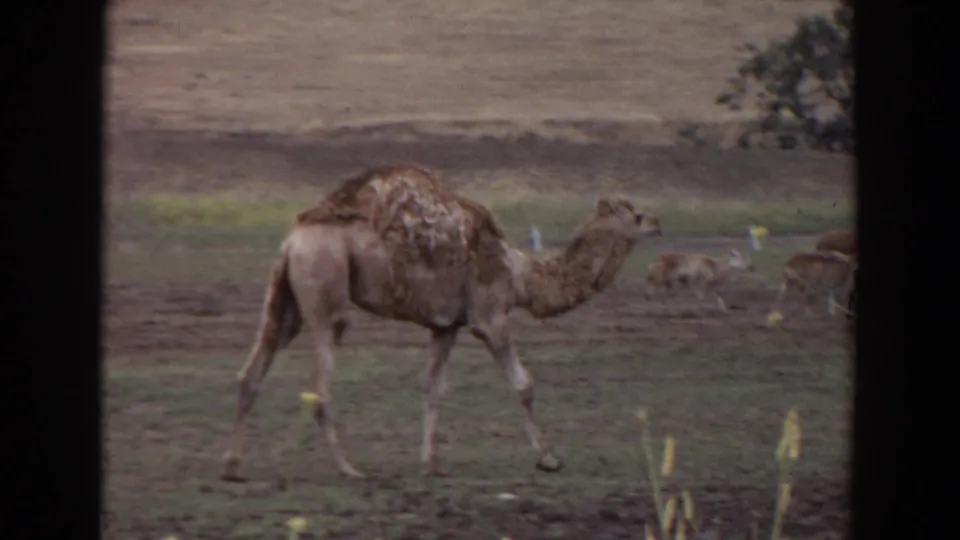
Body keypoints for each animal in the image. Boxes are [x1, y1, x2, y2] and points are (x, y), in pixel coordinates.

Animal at [221, 164, 663, 480]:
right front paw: (550, 459)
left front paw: (430, 464)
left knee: (253, 368)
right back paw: (349, 469)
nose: (659, 224)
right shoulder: (489, 316)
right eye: (638, 215)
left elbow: (434, 388)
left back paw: (233, 467)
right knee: (320, 383)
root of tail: (293, 237)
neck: (520, 275)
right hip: (324, 280)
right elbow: (523, 384)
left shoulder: (445, 325)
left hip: (287, 297)